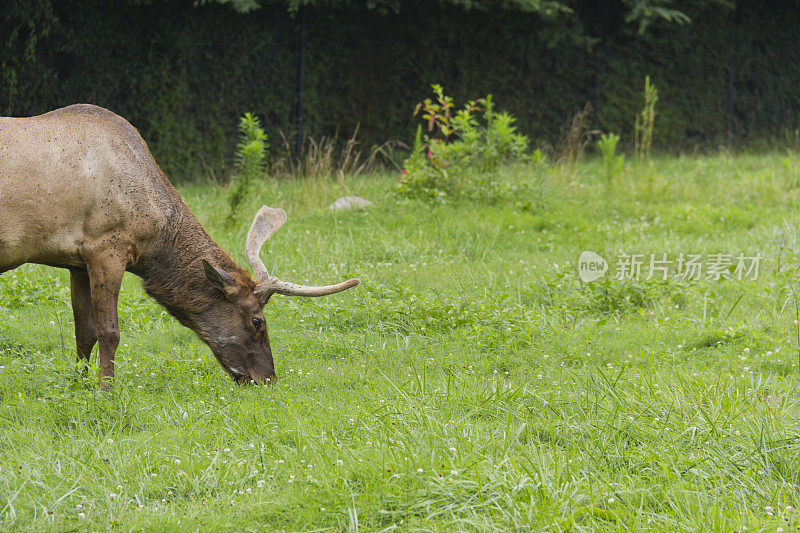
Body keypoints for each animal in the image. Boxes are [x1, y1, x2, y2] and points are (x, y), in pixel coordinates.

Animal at [0, 104, 356, 386]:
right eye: (258, 321)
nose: (267, 378)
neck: (155, 237)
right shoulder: (107, 246)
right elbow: (109, 332)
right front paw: (106, 389)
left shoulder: (77, 259)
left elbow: (83, 332)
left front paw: (79, 385)